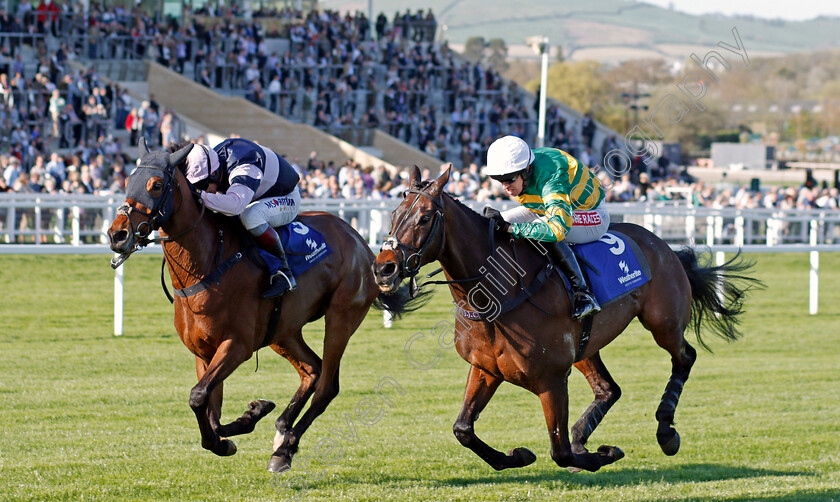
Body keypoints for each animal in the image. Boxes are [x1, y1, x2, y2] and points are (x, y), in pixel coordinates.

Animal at [108, 140, 424, 470]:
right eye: (128, 181)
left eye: (156, 185)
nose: (117, 234)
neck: (207, 265)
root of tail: (362, 243)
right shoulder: (203, 352)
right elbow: (210, 410)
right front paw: (249, 417)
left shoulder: (236, 345)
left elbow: (198, 397)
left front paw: (241, 425)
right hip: (282, 330)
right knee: (312, 369)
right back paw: (283, 429)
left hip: (341, 317)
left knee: (327, 384)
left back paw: (285, 449)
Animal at [374, 167, 760, 472]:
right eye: (393, 214)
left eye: (425, 217)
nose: (383, 268)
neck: (497, 298)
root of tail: (665, 245)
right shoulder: (486, 368)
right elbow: (463, 430)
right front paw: (517, 456)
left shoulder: (551, 379)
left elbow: (559, 451)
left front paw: (604, 453)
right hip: (586, 346)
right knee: (609, 388)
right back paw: (584, 434)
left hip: (663, 322)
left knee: (684, 357)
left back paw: (666, 431)